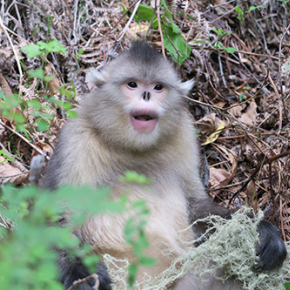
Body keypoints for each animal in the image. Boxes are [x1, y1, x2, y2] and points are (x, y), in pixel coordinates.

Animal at [41, 42, 288, 290]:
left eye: (158, 87)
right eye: (133, 84)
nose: (147, 94)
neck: (133, 149)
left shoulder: (184, 135)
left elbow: (196, 206)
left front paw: (262, 230)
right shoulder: (75, 140)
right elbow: (53, 220)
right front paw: (81, 274)